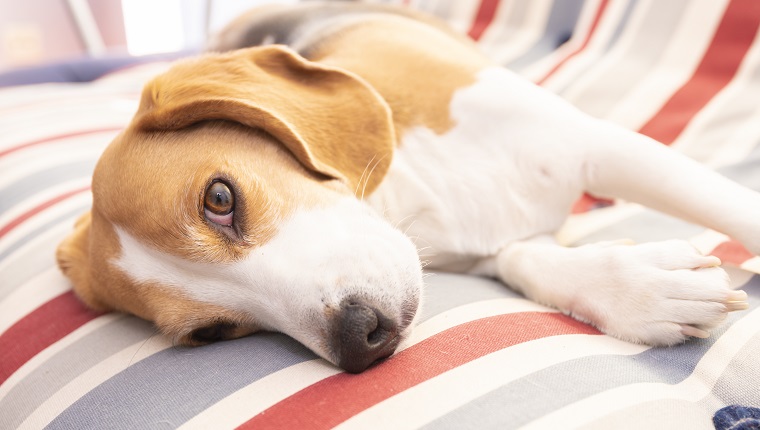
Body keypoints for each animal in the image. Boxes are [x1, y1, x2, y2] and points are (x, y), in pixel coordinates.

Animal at [56, 2, 756, 372]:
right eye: (214, 333)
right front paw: (638, 289)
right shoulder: (491, 249)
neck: (415, 194)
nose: (360, 338)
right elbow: (529, 260)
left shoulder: (599, 146)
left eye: (219, 199)